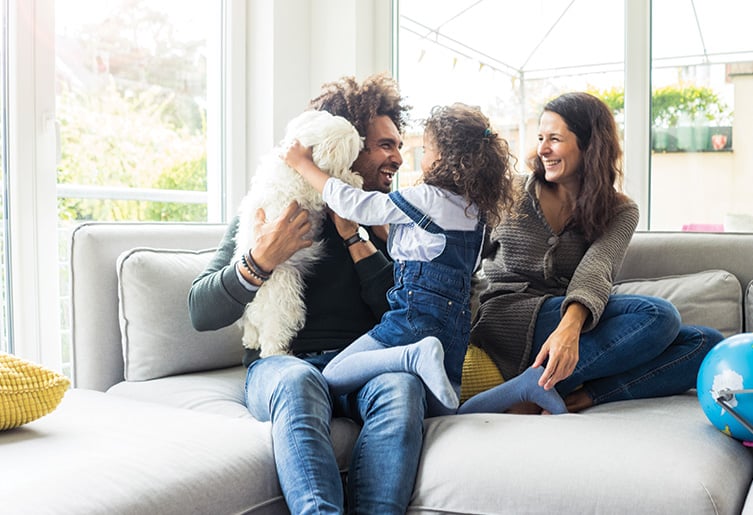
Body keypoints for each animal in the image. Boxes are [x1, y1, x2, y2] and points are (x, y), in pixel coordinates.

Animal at [235, 109, 364, 358]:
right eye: (352, 153)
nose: (362, 142)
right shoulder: (309, 189)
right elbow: (329, 184)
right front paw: (353, 178)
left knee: (251, 326)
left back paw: (251, 339)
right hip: (285, 295)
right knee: (274, 332)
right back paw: (276, 352)